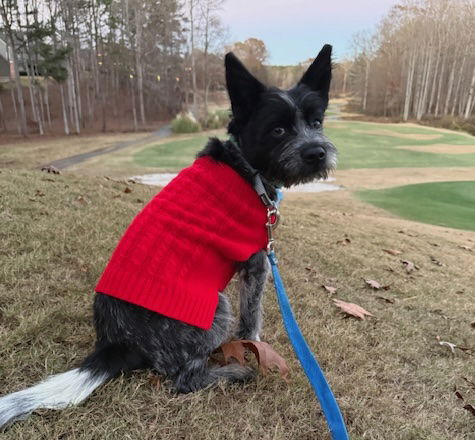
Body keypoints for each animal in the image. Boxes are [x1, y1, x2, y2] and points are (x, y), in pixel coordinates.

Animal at [0, 44, 336, 429]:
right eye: (278, 129)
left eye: (316, 122)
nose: (317, 152)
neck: (246, 169)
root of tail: (115, 343)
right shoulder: (256, 264)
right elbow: (251, 321)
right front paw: (254, 347)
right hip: (215, 307)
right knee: (184, 379)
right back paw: (233, 373)